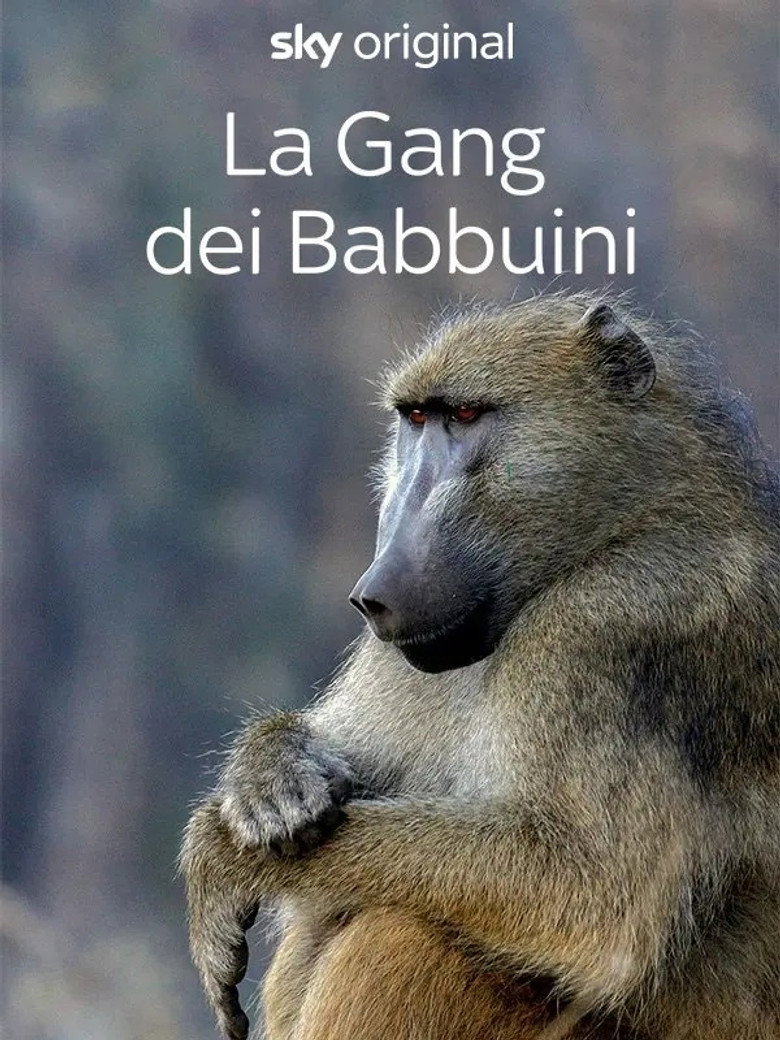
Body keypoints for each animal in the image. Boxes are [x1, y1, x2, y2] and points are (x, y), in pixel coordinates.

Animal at [181, 292, 780, 1040]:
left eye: (465, 417)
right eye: (415, 420)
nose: (374, 592)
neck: (627, 523)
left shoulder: (617, 623)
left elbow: (590, 895)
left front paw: (219, 855)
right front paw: (269, 775)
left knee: (400, 932)